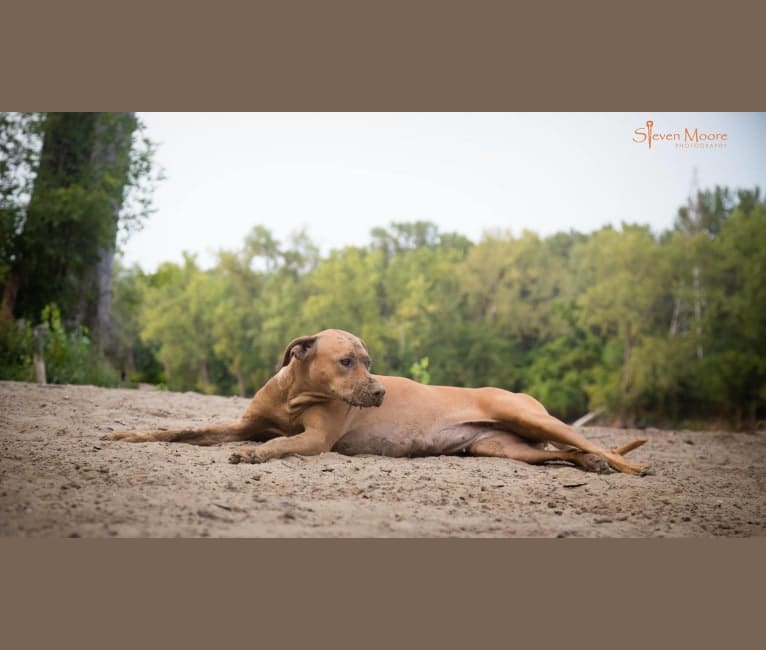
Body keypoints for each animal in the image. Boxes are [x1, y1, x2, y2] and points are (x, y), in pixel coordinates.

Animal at [105, 330, 652, 470]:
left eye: (370, 361)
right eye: (349, 360)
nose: (382, 390)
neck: (296, 395)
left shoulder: (316, 441)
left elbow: (279, 445)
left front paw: (253, 455)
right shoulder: (242, 423)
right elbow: (181, 430)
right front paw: (126, 433)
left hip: (525, 416)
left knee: (595, 444)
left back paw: (627, 467)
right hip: (501, 447)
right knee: (562, 453)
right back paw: (590, 465)